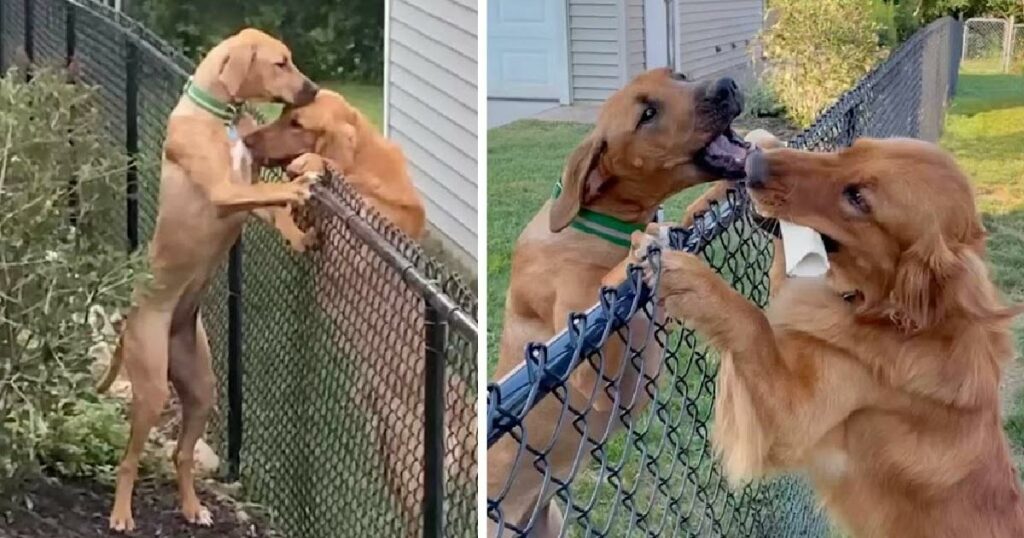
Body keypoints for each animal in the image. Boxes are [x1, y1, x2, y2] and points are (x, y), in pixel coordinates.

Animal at [96, 27, 319, 528]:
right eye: (281, 63)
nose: (313, 90)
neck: (219, 114)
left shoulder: (245, 195)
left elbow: (273, 208)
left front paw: (298, 235)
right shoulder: (225, 191)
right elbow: (273, 192)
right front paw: (299, 184)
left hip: (201, 387)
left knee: (181, 454)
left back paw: (192, 507)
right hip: (152, 387)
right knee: (128, 459)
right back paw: (121, 514)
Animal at [483, 67, 749, 532]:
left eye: (678, 76)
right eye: (647, 115)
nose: (727, 85)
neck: (596, 222)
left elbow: (689, 215)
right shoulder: (583, 364)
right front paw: (638, 248)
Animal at [643, 138, 1024, 536]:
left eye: (857, 198)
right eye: (852, 149)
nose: (754, 166)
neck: (891, 316)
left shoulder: (791, 424)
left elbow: (754, 324)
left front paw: (695, 282)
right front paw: (756, 148)